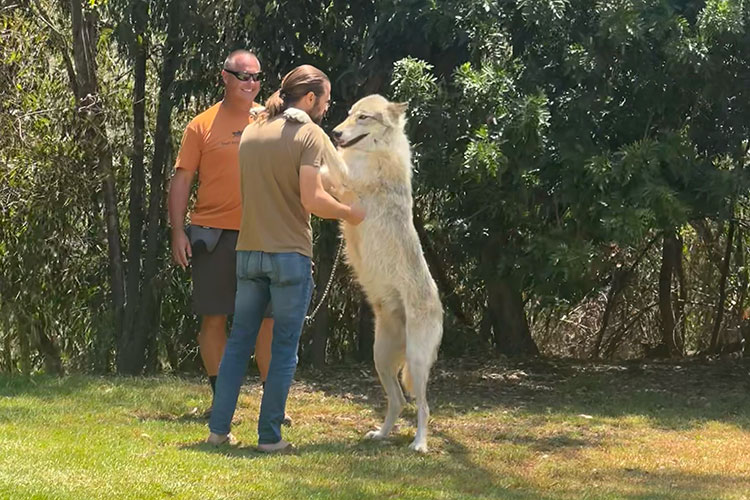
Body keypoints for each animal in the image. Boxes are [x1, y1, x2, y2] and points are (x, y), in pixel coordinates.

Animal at [284, 95, 444, 452]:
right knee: (398, 401)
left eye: (363, 117)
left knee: (424, 407)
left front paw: (300, 115)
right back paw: (381, 435)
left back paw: (419, 444)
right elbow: (325, 156)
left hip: (415, 363)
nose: (338, 131)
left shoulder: (342, 176)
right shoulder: (330, 178)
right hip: (380, 359)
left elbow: (323, 141)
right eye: (348, 114)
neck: (375, 152)